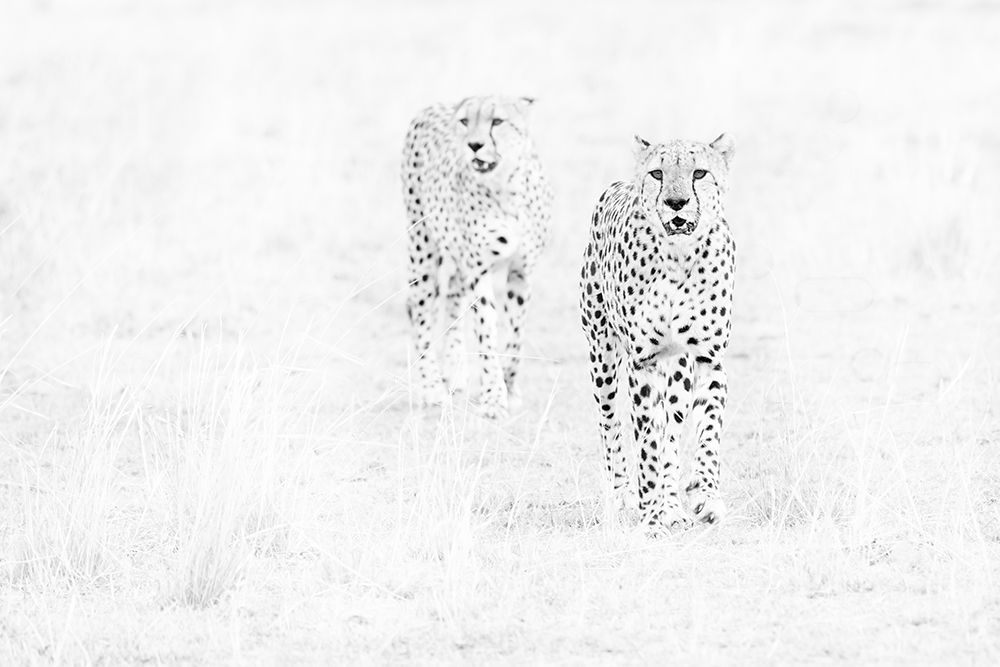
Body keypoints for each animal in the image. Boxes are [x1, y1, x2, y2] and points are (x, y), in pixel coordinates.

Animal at [402, 96, 552, 418]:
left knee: (452, 296)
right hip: (422, 246)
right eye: (465, 122)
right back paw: (432, 387)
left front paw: (510, 388)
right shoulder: (480, 271)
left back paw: (455, 372)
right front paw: (494, 397)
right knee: (420, 311)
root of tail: (432, 106)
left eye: (497, 121)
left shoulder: (522, 272)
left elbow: (515, 336)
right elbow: (486, 334)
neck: (507, 188)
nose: (474, 145)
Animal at [579, 133, 736, 534]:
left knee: (673, 430)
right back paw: (624, 497)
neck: (680, 257)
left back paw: (673, 506)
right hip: (602, 356)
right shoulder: (644, 362)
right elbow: (648, 442)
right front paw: (650, 515)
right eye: (657, 173)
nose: (676, 203)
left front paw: (704, 496)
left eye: (700, 173)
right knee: (611, 424)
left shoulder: (707, 359)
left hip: (677, 370)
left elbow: (706, 431)